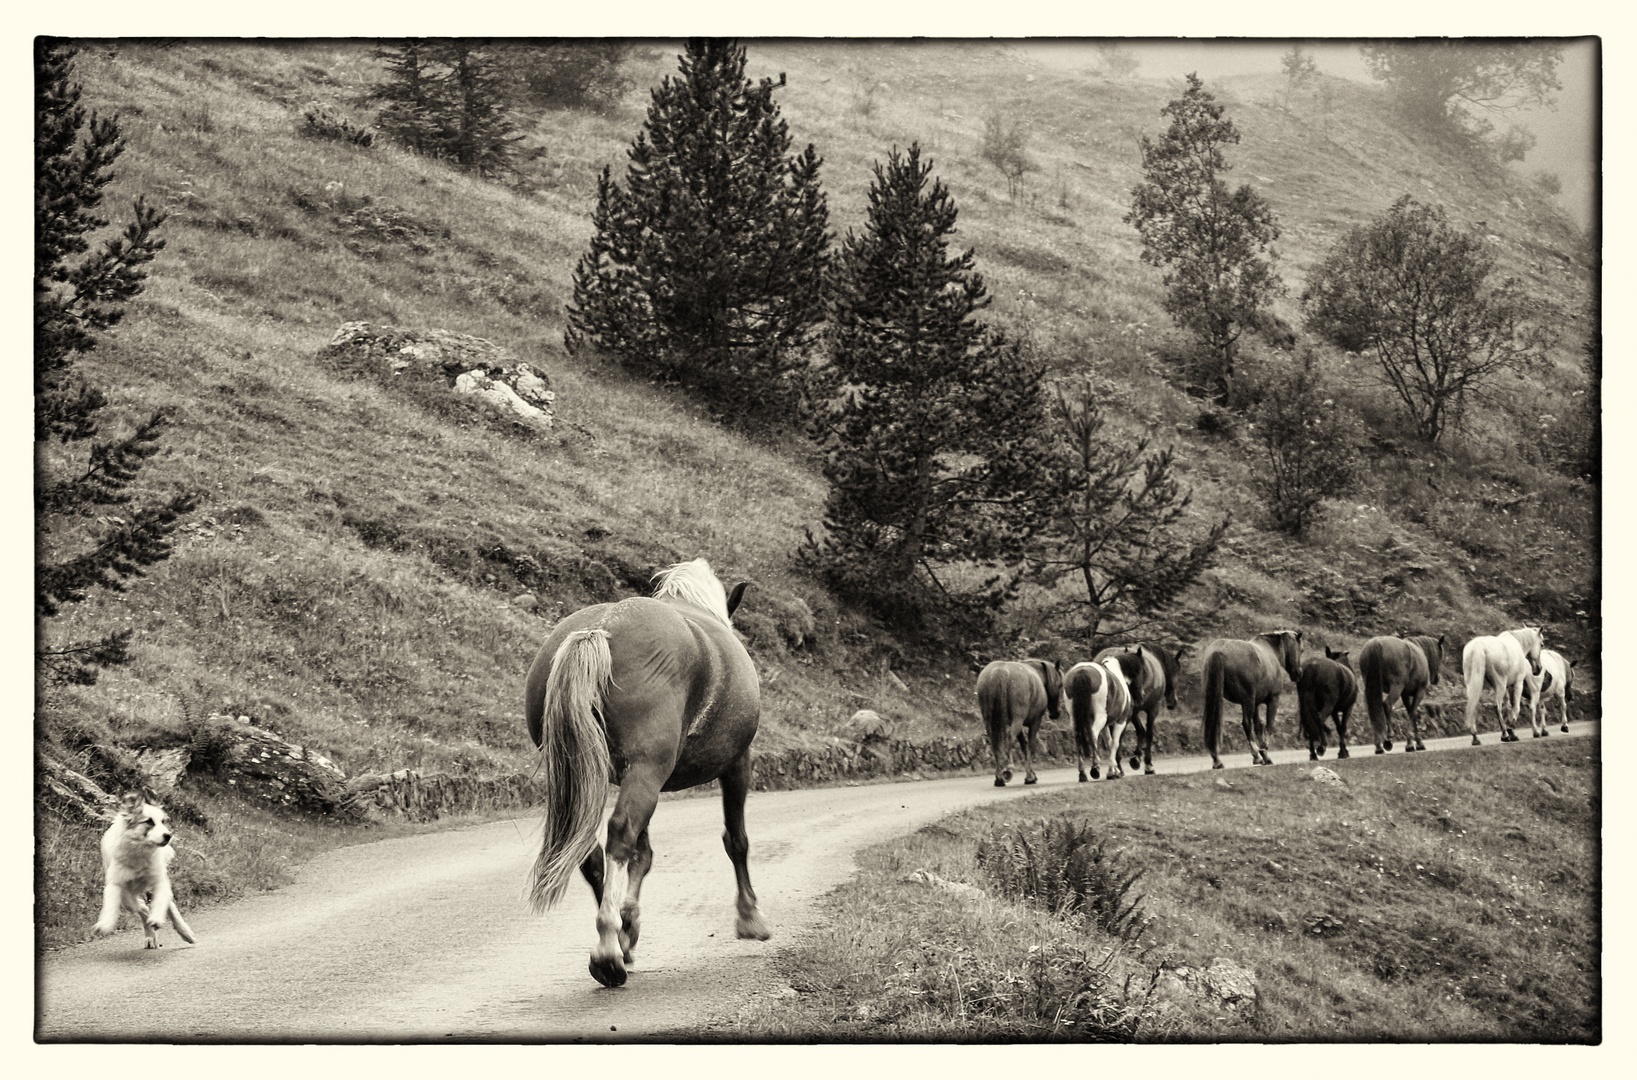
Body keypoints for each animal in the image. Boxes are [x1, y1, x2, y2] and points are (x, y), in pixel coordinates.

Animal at [520, 556, 769, 988]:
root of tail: (601, 628)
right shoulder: (737, 763)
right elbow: (736, 840)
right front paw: (749, 916)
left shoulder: (632, 774)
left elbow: (644, 854)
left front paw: (630, 924)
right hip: (647, 772)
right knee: (619, 835)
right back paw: (608, 949)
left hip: (588, 776)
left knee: (591, 850)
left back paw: (616, 938)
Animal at [975, 657, 1067, 785]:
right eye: (1060, 685)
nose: (1056, 713)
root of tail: (1000, 671)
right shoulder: (1035, 722)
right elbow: (1031, 745)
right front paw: (1030, 777)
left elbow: (1023, 745)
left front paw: (1030, 774)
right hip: (1016, 720)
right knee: (1009, 738)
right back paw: (1008, 768)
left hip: (989, 721)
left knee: (995, 742)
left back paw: (999, 776)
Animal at [1093, 641, 1185, 775]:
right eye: (1177, 672)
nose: (1173, 702)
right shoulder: (1152, 708)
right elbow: (1149, 734)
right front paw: (1148, 764)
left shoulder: (1134, 711)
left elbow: (1141, 730)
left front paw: (1136, 758)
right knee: (1116, 736)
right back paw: (1117, 766)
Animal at [1198, 628, 1296, 772]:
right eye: (1301, 649)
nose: (1298, 673)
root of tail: (1218, 651)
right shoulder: (1273, 699)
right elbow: (1268, 725)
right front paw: (1264, 751)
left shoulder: (1255, 704)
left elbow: (1259, 725)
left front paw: (1264, 755)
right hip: (1247, 701)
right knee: (1246, 724)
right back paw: (1256, 756)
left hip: (1217, 697)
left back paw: (1217, 760)